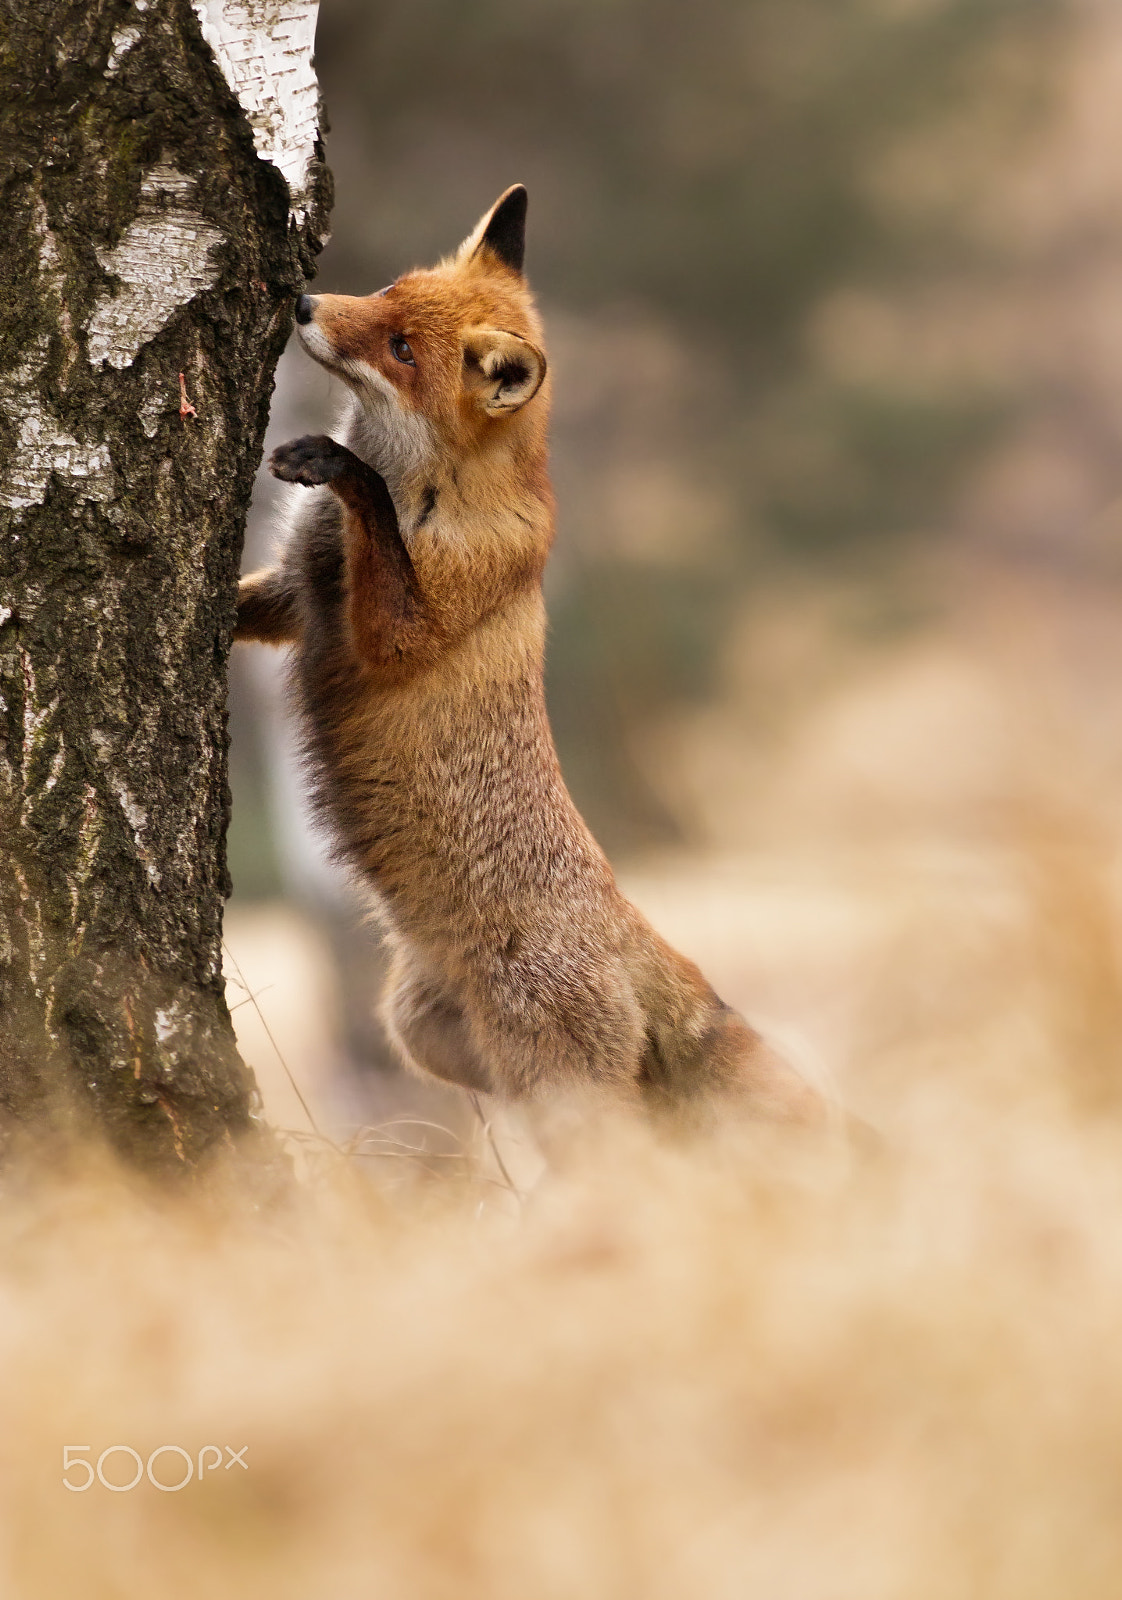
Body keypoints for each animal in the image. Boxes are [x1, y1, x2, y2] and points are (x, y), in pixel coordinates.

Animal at [233, 187, 825, 1126]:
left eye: (402, 350)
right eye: (387, 293)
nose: (303, 303)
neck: (441, 487)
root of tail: (637, 935)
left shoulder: (396, 634)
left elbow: (375, 525)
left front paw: (344, 466)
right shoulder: (298, 596)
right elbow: (253, 605)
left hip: (561, 1096)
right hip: (430, 1037)